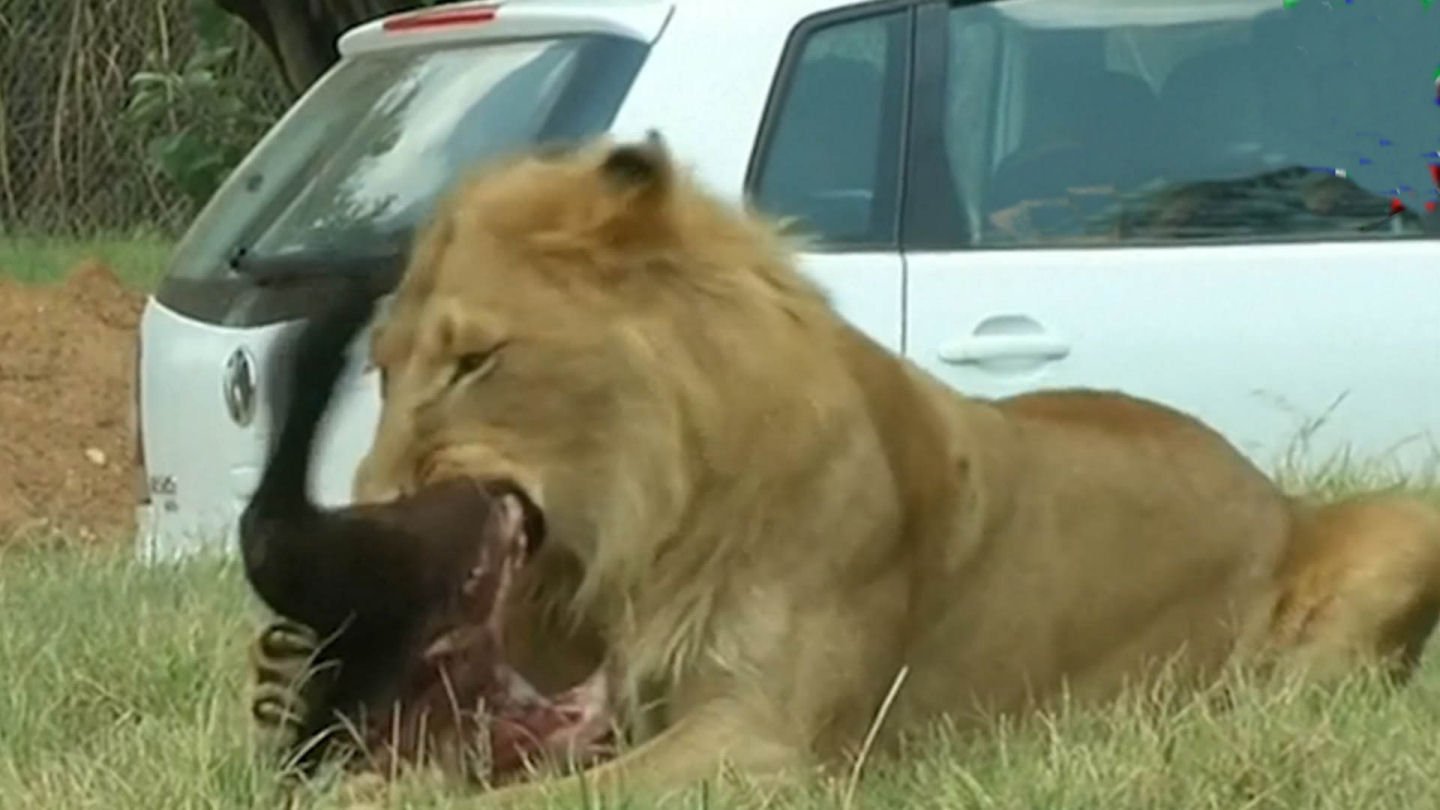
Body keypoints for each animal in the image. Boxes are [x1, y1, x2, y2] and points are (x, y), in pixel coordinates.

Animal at [249, 132, 1440, 805]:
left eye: (476, 361)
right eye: (384, 368)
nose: (364, 517)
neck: (643, 535)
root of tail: (1265, 487)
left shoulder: (768, 742)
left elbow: (541, 801)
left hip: (1404, 526)